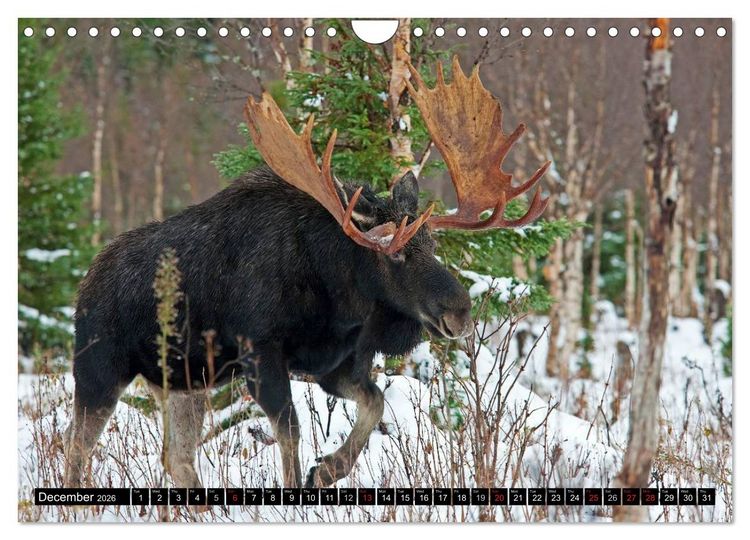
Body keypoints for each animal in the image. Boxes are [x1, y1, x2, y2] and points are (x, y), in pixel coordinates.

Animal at [63, 55, 549, 490]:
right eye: (394, 255)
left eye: (432, 245)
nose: (460, 312)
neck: (338, 297)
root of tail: (84, 286)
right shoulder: (260, 353)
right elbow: (291, 431)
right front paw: (302, 484)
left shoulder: (336, 363)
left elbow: (375, 403)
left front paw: (328, 470)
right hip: (99, 369)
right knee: (77, 446)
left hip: (184, 381)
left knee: (176, 458)